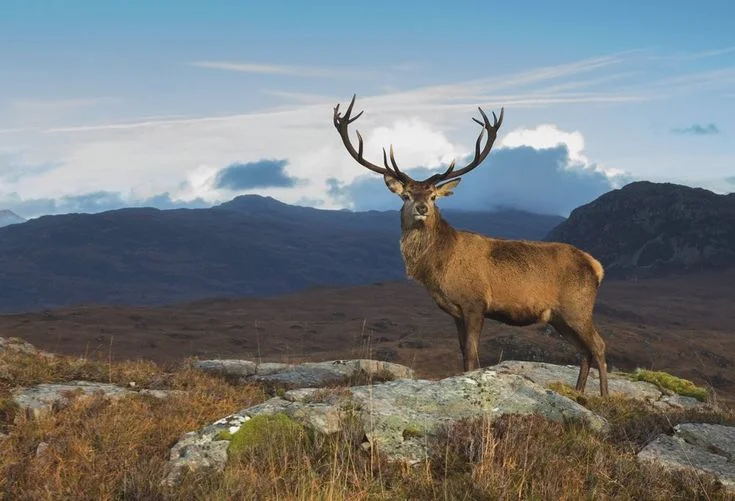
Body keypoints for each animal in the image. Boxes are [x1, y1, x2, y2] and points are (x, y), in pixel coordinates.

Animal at [333, 94, 610, 397]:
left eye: (433, 196)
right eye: (406, 195)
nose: (421, 208)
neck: (440, 267)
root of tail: (596, 266)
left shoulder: (476, 303)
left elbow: (473, 357)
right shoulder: (455, 312)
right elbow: (464, 354)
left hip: (578, 307)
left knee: (598, 345)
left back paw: (605, 396)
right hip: (559, 317)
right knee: (583, 350)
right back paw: (579, 393)